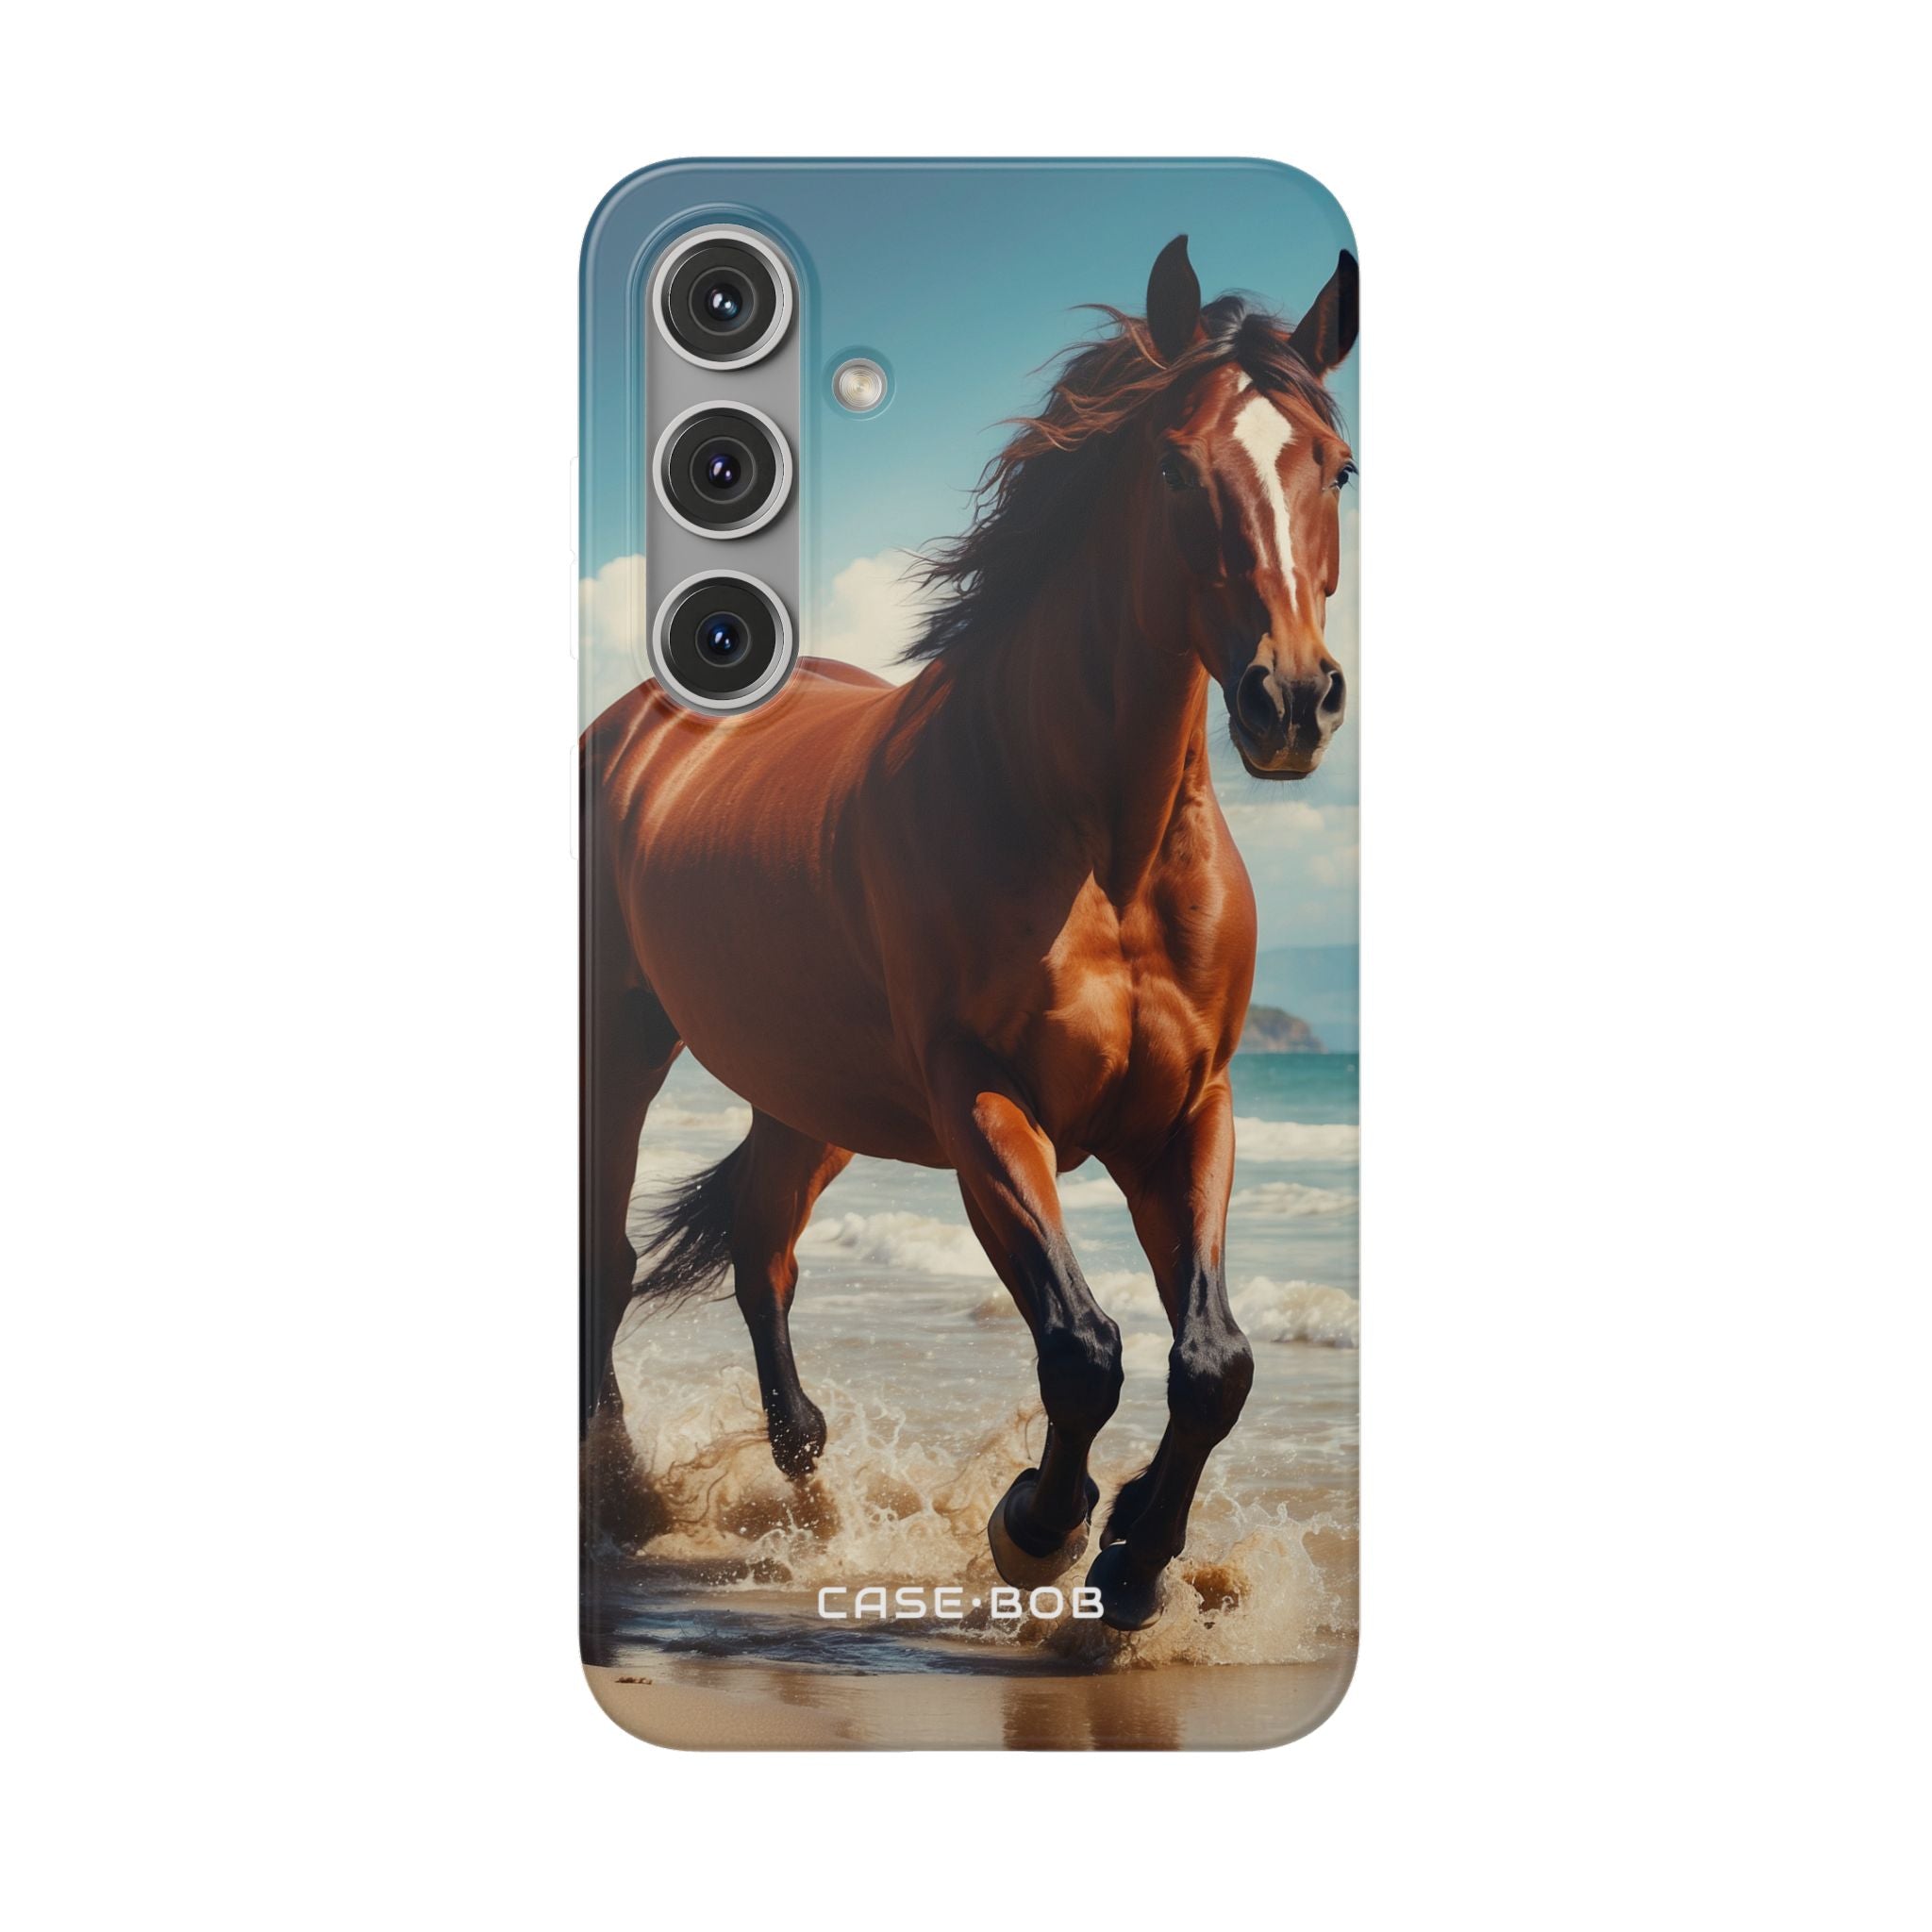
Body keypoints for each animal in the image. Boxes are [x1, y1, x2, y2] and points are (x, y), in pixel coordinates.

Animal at [581, 234, 1358, 1629]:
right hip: (621, 1042)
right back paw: (620, 1498)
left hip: (808, 1095)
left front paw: (1135, 1562)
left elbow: (1212, 1361)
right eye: (1174, 465)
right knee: (608, 1261)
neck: (1094, 841)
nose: (1290, 699)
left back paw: (811, 1503)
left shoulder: (1186, 1111)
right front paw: (1041, 1527)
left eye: (1337, 465)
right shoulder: (983, 1101)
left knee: (761, 1255)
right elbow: (1084, 1347)